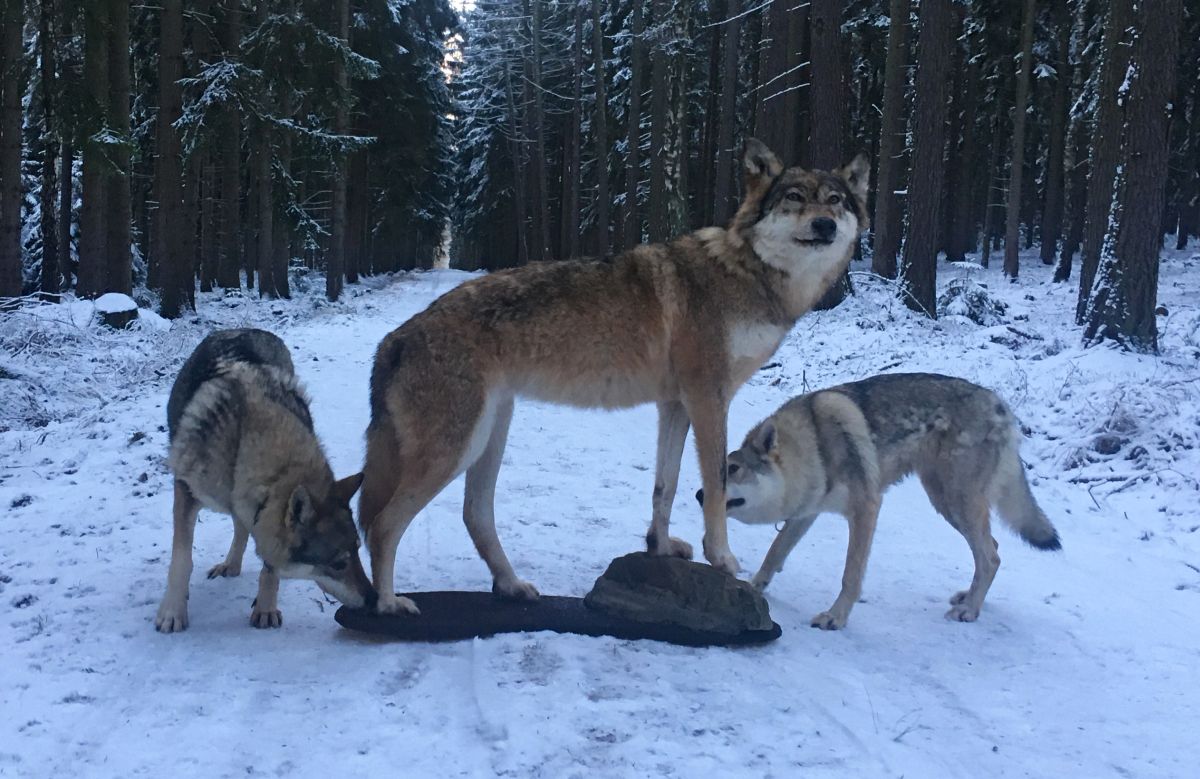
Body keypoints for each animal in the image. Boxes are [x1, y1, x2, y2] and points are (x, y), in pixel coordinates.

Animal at [360, 139, 868, 614]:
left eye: (835, 201)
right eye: (795, 197)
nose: (824, 225)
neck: (751, 275)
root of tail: (395, 338)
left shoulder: (676, 404)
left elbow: (665, 486)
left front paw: (659, 548)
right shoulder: (709, 398)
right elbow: (715, 486)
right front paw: (720, 558)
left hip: (489, 436)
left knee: (473, 515)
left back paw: (512, 586)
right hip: (457, 449)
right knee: (382, 524)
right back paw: (388, 603)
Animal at [700, 369, 1065, 624]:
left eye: (732, 469)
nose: (700, 493)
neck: (814, 447)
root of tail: (999, 404)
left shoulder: (867, 508)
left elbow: (850, 575)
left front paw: (835, 618)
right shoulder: (806, 512)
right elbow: (775, 553)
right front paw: (753, 587)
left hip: (954, 502)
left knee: (990, 556)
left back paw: (970, 611)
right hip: (947, 503)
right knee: (993, 550)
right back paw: (968, 598)